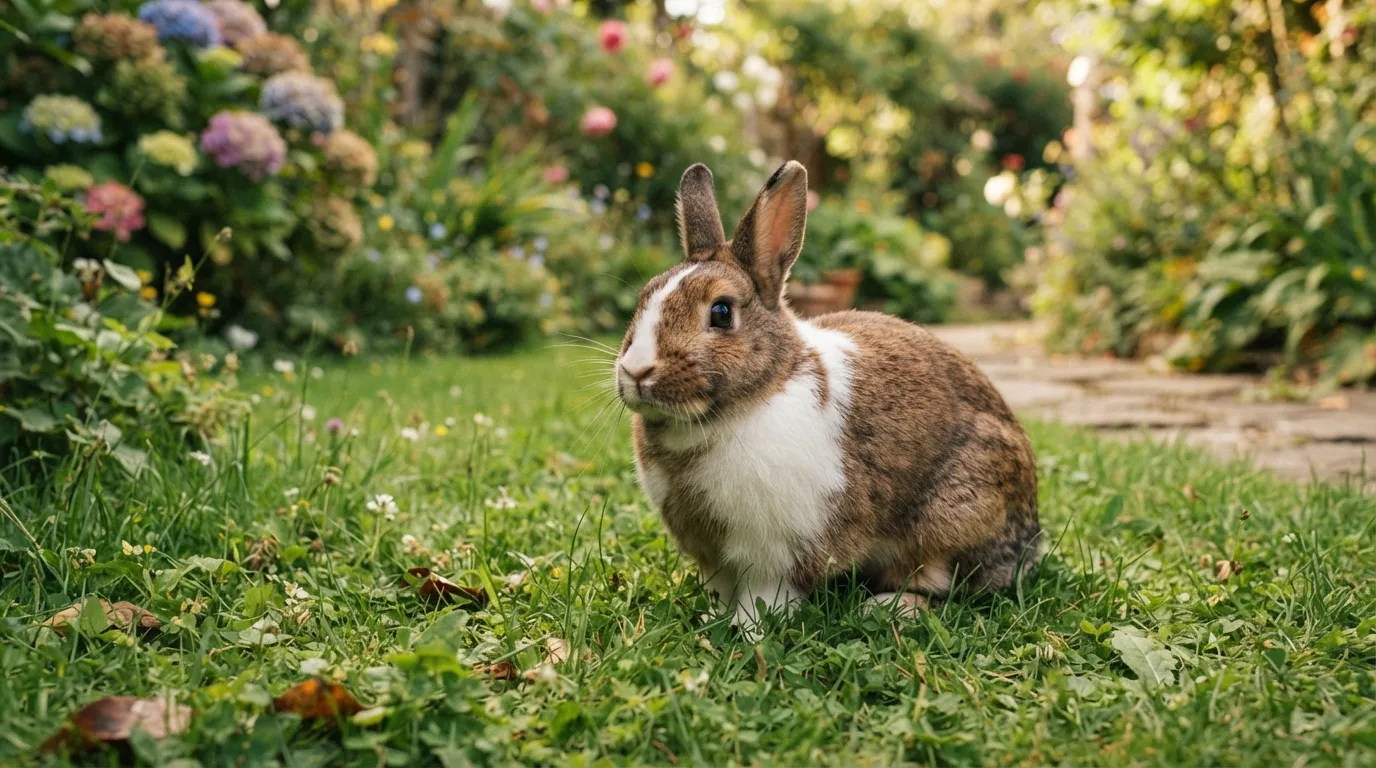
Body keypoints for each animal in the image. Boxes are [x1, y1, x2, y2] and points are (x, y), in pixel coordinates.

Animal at [613, 161, 1041, 634]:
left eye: (721, 312)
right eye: (644, 296)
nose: (636, 370)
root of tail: (1030, 540)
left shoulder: (778, 551)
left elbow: (765, 595)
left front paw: (750, 630)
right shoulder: (713, 553)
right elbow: (721, 588)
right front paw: (712, 618)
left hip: (954, 517)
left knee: (950, 587)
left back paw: (888, 607)